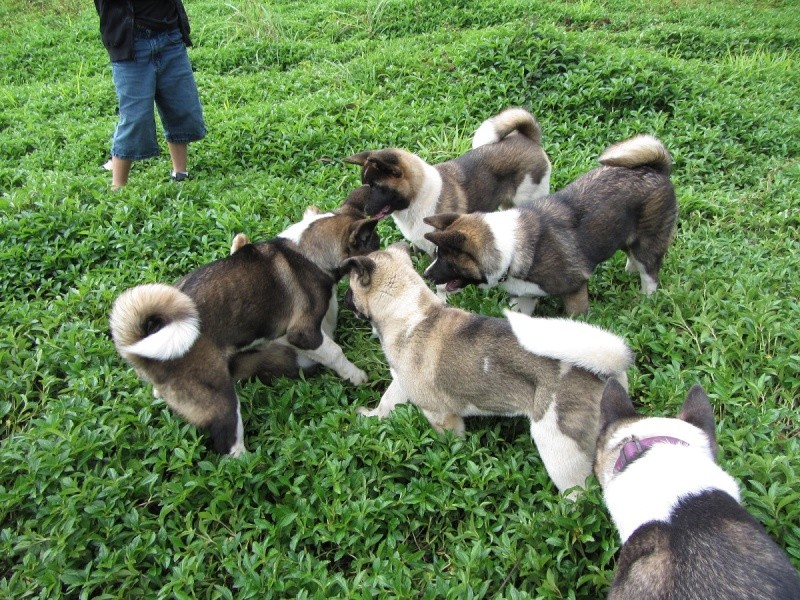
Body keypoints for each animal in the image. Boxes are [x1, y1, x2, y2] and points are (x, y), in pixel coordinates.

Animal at [109, 186, 382, 454]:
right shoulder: (304, 333)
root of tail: (142, 348)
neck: (305, 251)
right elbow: (334, 351)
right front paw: (355, 375)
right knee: (231, 450)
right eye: (375, 245)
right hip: (221, 401)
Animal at [340, 241, 636, 494]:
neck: (410, 313)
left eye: (350, 287)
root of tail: (606, 371)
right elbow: (388, 401)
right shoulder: (401, 383)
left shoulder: (441, 417)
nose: (342, 298)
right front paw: (372, 416)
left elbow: (451, 444)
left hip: (559, 451)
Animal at [422, 134, 680, 316]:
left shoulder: (575, 292)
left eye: (447, 260)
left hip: (650, 243)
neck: (510, 249)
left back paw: (646, 301)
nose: (426, 276)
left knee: (650, 274)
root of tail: (655, 169)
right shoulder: (525, 295)